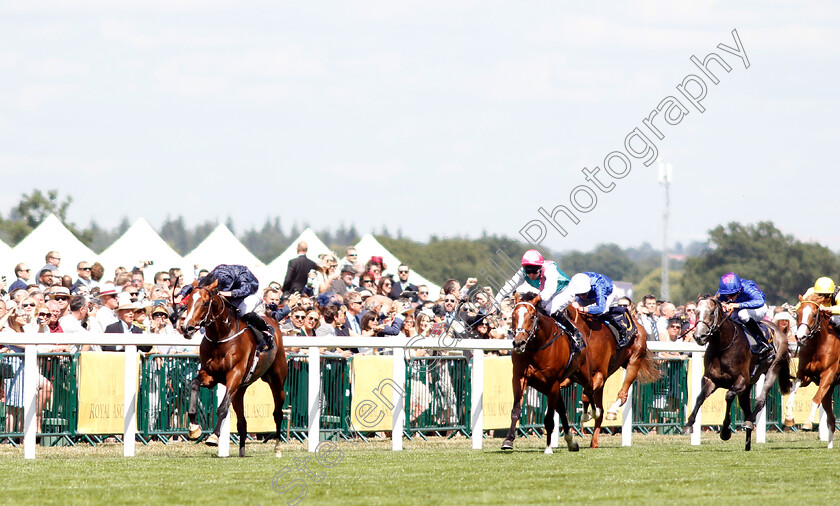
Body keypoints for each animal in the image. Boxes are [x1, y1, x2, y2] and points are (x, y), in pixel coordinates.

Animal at [178, 280, 288, 458]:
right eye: (188, 303)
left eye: (205, 303)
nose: (187, 328)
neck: (221, 336)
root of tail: (272, 319)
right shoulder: (210, 375)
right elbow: (194, 384)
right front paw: (194, 428)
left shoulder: (234, 375)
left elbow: (222, 408)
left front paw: (214, 437)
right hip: (240, 390)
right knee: (242, 422)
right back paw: (242, 451)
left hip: (277, 380)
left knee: (277, 413)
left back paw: (278, 448)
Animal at [502, 290, 580, 452]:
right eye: (513, 316)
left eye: (532, 316)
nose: (518, 343)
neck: (536, 347)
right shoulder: (520, 377)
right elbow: (516, 411)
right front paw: (508, 440)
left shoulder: (553, 382)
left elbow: (549, 417)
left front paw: (548, 447)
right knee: (562, 409)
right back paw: (571, 441)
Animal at [560, 304, 660, 446]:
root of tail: (639, 325)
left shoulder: (600, 375)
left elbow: (585, 395)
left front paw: (586, 415)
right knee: (600, 410)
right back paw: (594, 442)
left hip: (634, 360)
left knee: (622, 395)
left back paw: (611, 411)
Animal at [684, 296, 792, 450]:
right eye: (696, 312)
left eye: (711, 312)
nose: (699, 336)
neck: (724, 345)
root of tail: (779, 330)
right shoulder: (711, 380)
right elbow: (700, 398)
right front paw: (689, 425)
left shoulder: (741, 380)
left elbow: (729, 396)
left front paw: (725, 431)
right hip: (748, 387)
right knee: (746, 408)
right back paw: (747, 442)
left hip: (773, 369)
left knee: (760, 400)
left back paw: (749, 422)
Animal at [784, 296, 840, 446]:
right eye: (797, 314)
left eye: (814, 315)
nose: (800, 337)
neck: (818, 346)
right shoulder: (805, 375)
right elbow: (793, 388)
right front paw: (789, 417)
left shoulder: (828, 374)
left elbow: (815, 399)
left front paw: (808, 423)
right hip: (829, 390)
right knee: (831, 418)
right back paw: (829, 445)